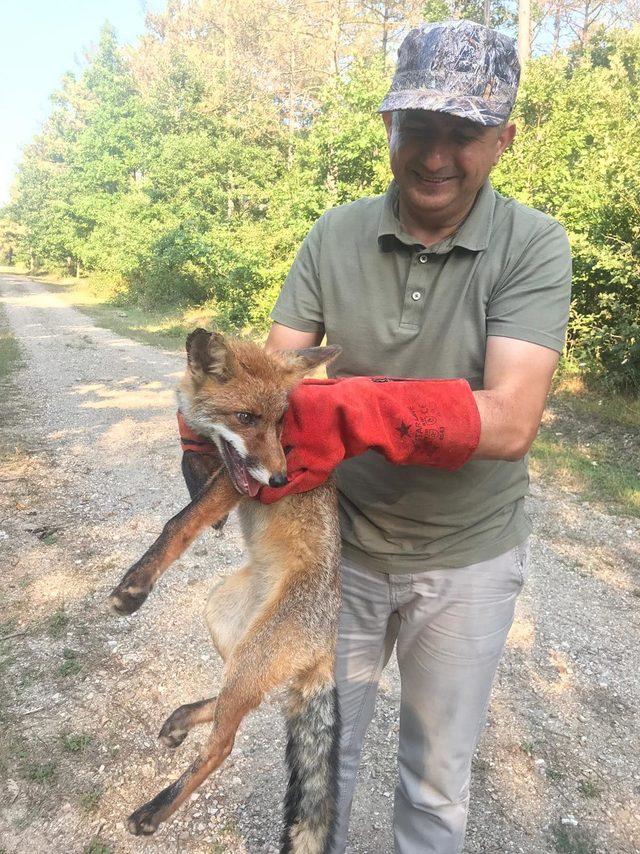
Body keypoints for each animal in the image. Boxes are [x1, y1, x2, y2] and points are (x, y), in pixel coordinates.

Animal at [107, 332, 342, 854]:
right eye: (246, 418)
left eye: (281, 422)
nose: (281, 479)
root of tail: (328, 644)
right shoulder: (218, 463)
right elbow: (190, 469)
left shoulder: (240, 485)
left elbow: (180, 521)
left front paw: (134, 586)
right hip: (224, 622)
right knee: (237, 702)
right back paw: (182, 719)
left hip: (254, 654)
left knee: (222, 744)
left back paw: (155, 811)